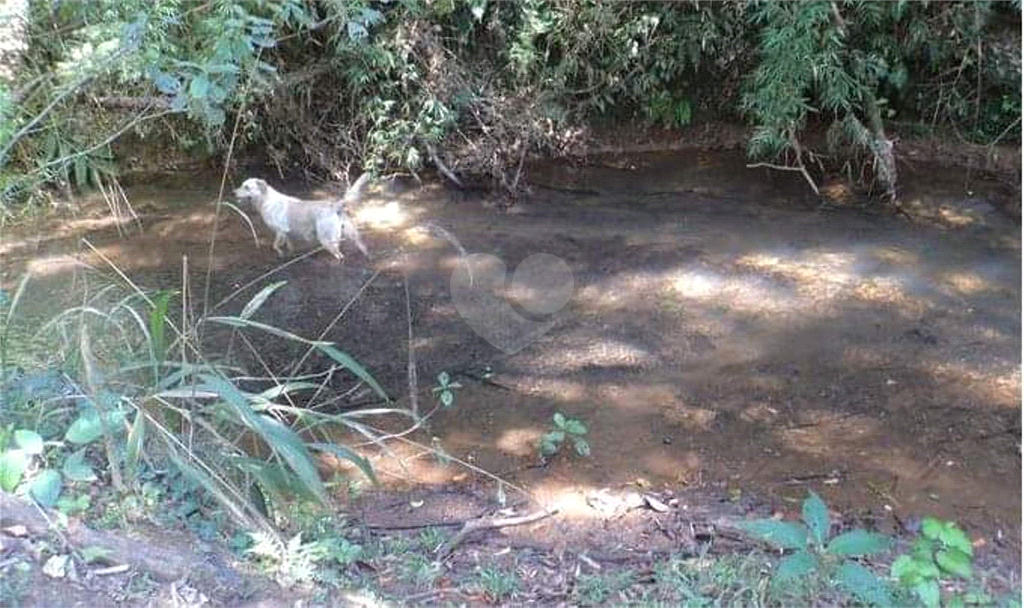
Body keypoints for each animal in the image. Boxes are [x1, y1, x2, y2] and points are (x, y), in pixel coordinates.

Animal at [233, 174, 372, 262]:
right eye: (241, 185)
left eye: (247, 187)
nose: (233, 192)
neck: (265, 200)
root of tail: (334, 205)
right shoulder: (287, 233)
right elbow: (289, 245)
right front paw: (289, 254)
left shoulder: (279, 231)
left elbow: (275, 246)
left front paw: (280, 253)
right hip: (349, 234)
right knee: (359, 246)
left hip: (326, 239)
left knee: (339, 255)